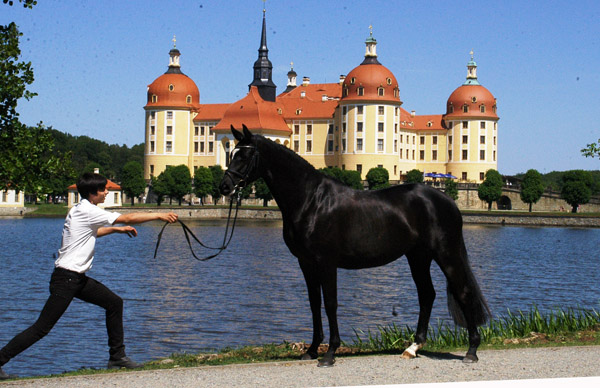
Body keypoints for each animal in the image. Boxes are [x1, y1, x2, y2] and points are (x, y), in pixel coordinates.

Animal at [218, 125, 490, 366]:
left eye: (245, 155)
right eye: (232, 152)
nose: (225, 187)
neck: (311, 200)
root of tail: (447, 200)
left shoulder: (326, 262)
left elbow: (330, 303)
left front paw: (329, 354)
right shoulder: (306, 263)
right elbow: (314, 304)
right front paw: (311, 350)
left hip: (446, 253)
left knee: (463, 291)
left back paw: (471, 351)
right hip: (418, 257)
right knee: (427, 295)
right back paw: (413, 348)